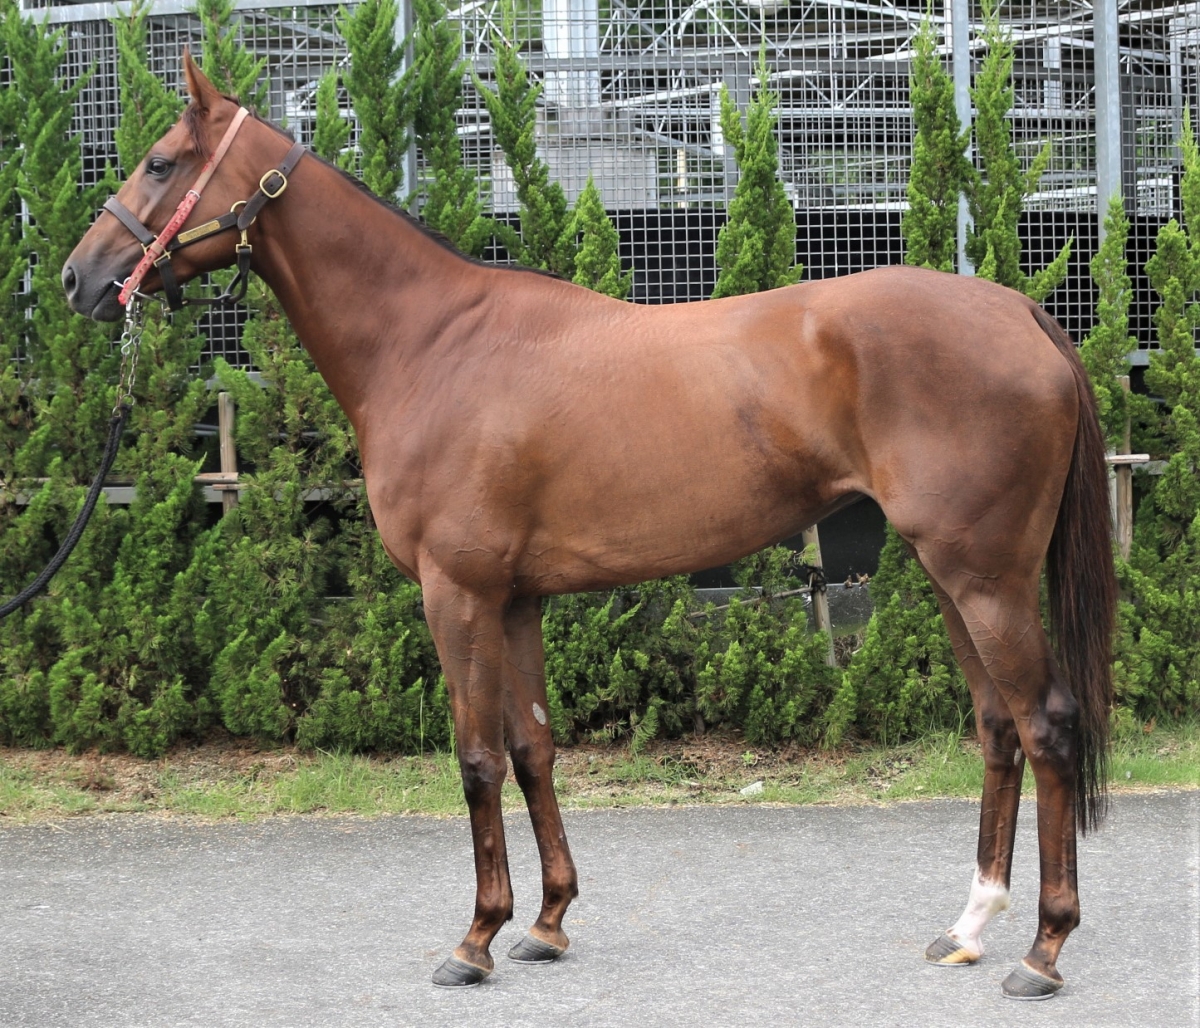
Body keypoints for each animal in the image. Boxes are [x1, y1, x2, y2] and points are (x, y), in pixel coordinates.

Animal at [63, 55, 1115, 1000]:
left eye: (160, 162)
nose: (80, 278)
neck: (431, 344)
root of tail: (1022, 312)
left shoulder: (457, 592)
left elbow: (477, 758)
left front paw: (475, 940)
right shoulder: (516, 599)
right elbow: (533, 748)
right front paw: (547, 923)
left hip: (984, 577)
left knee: (1048, 724)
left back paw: (1043, 951)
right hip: (952, 575)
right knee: (997, 725)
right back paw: (968, 927)